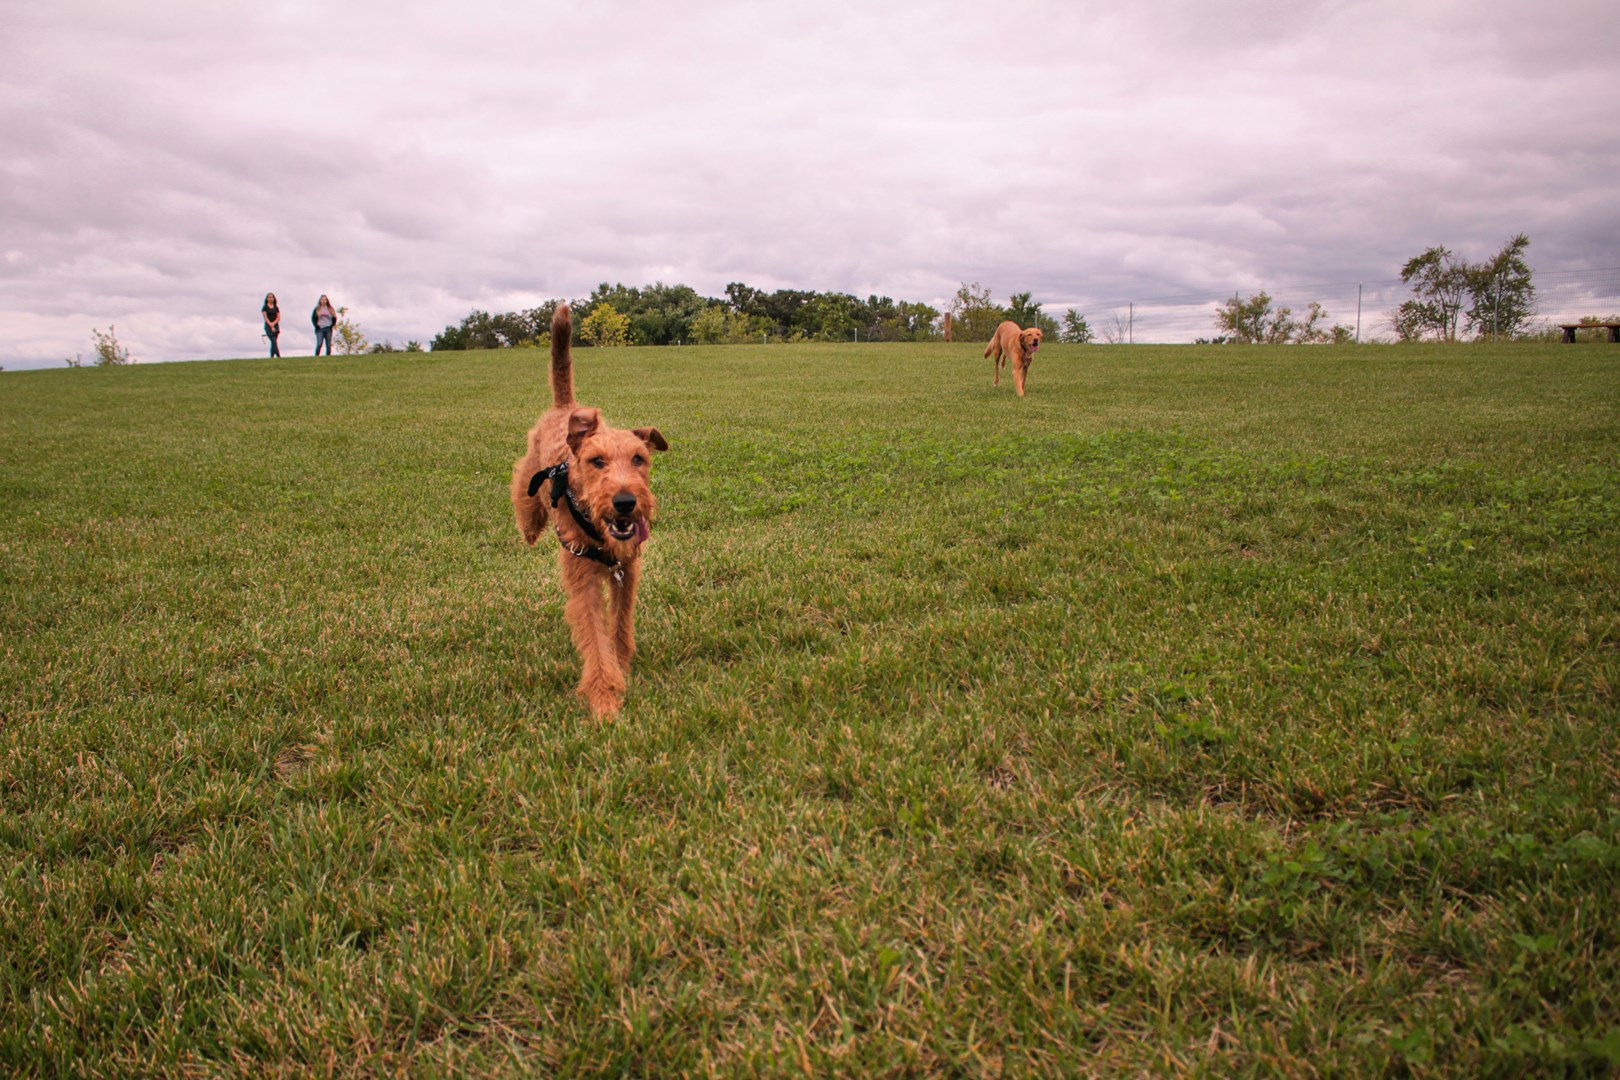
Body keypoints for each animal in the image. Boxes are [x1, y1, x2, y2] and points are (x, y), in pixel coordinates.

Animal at [508, 302, 667, 718]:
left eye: (639, 458)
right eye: (597, 461)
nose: (626, 502)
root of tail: (566, 407)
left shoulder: (627, 569)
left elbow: (620, 625)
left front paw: (621, 666)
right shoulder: (583, 579)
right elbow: (595, 639)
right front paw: (603, 699)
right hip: (531, 469)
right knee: (522, 489)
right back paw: (529, 526)